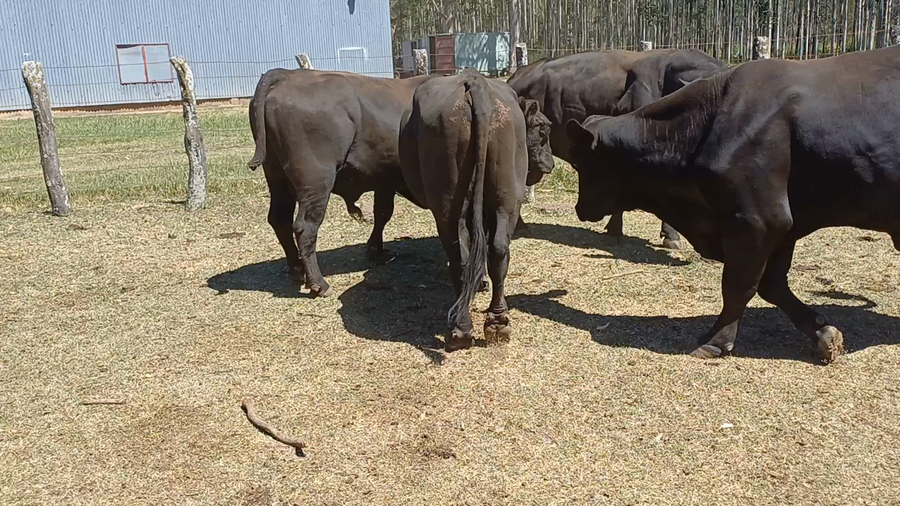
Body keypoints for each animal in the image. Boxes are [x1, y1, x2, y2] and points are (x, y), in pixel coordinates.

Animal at [248, 69, 434, 297]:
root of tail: (287, 74)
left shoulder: (384, 180)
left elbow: (382, 213)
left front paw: (376, 250)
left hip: (277, 179)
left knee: (279, 219)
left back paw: (296, 269)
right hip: (316, 182)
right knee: (304, 227)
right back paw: (319, 284)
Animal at [399, 69, 554, 351]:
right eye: (542, 132)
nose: (551, 164)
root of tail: (475, 83)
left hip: (448, 204)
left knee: (459, 252)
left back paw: (461, 328)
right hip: (506, 196)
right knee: (498, 249)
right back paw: (497, 323)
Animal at [564, 46, 900, 362]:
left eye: (581, 164)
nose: (580, 209)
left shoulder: (757, 221)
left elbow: (739, 285)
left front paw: (715, 340)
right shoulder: (786, 224)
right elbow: (771, 285)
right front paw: (824, 334)